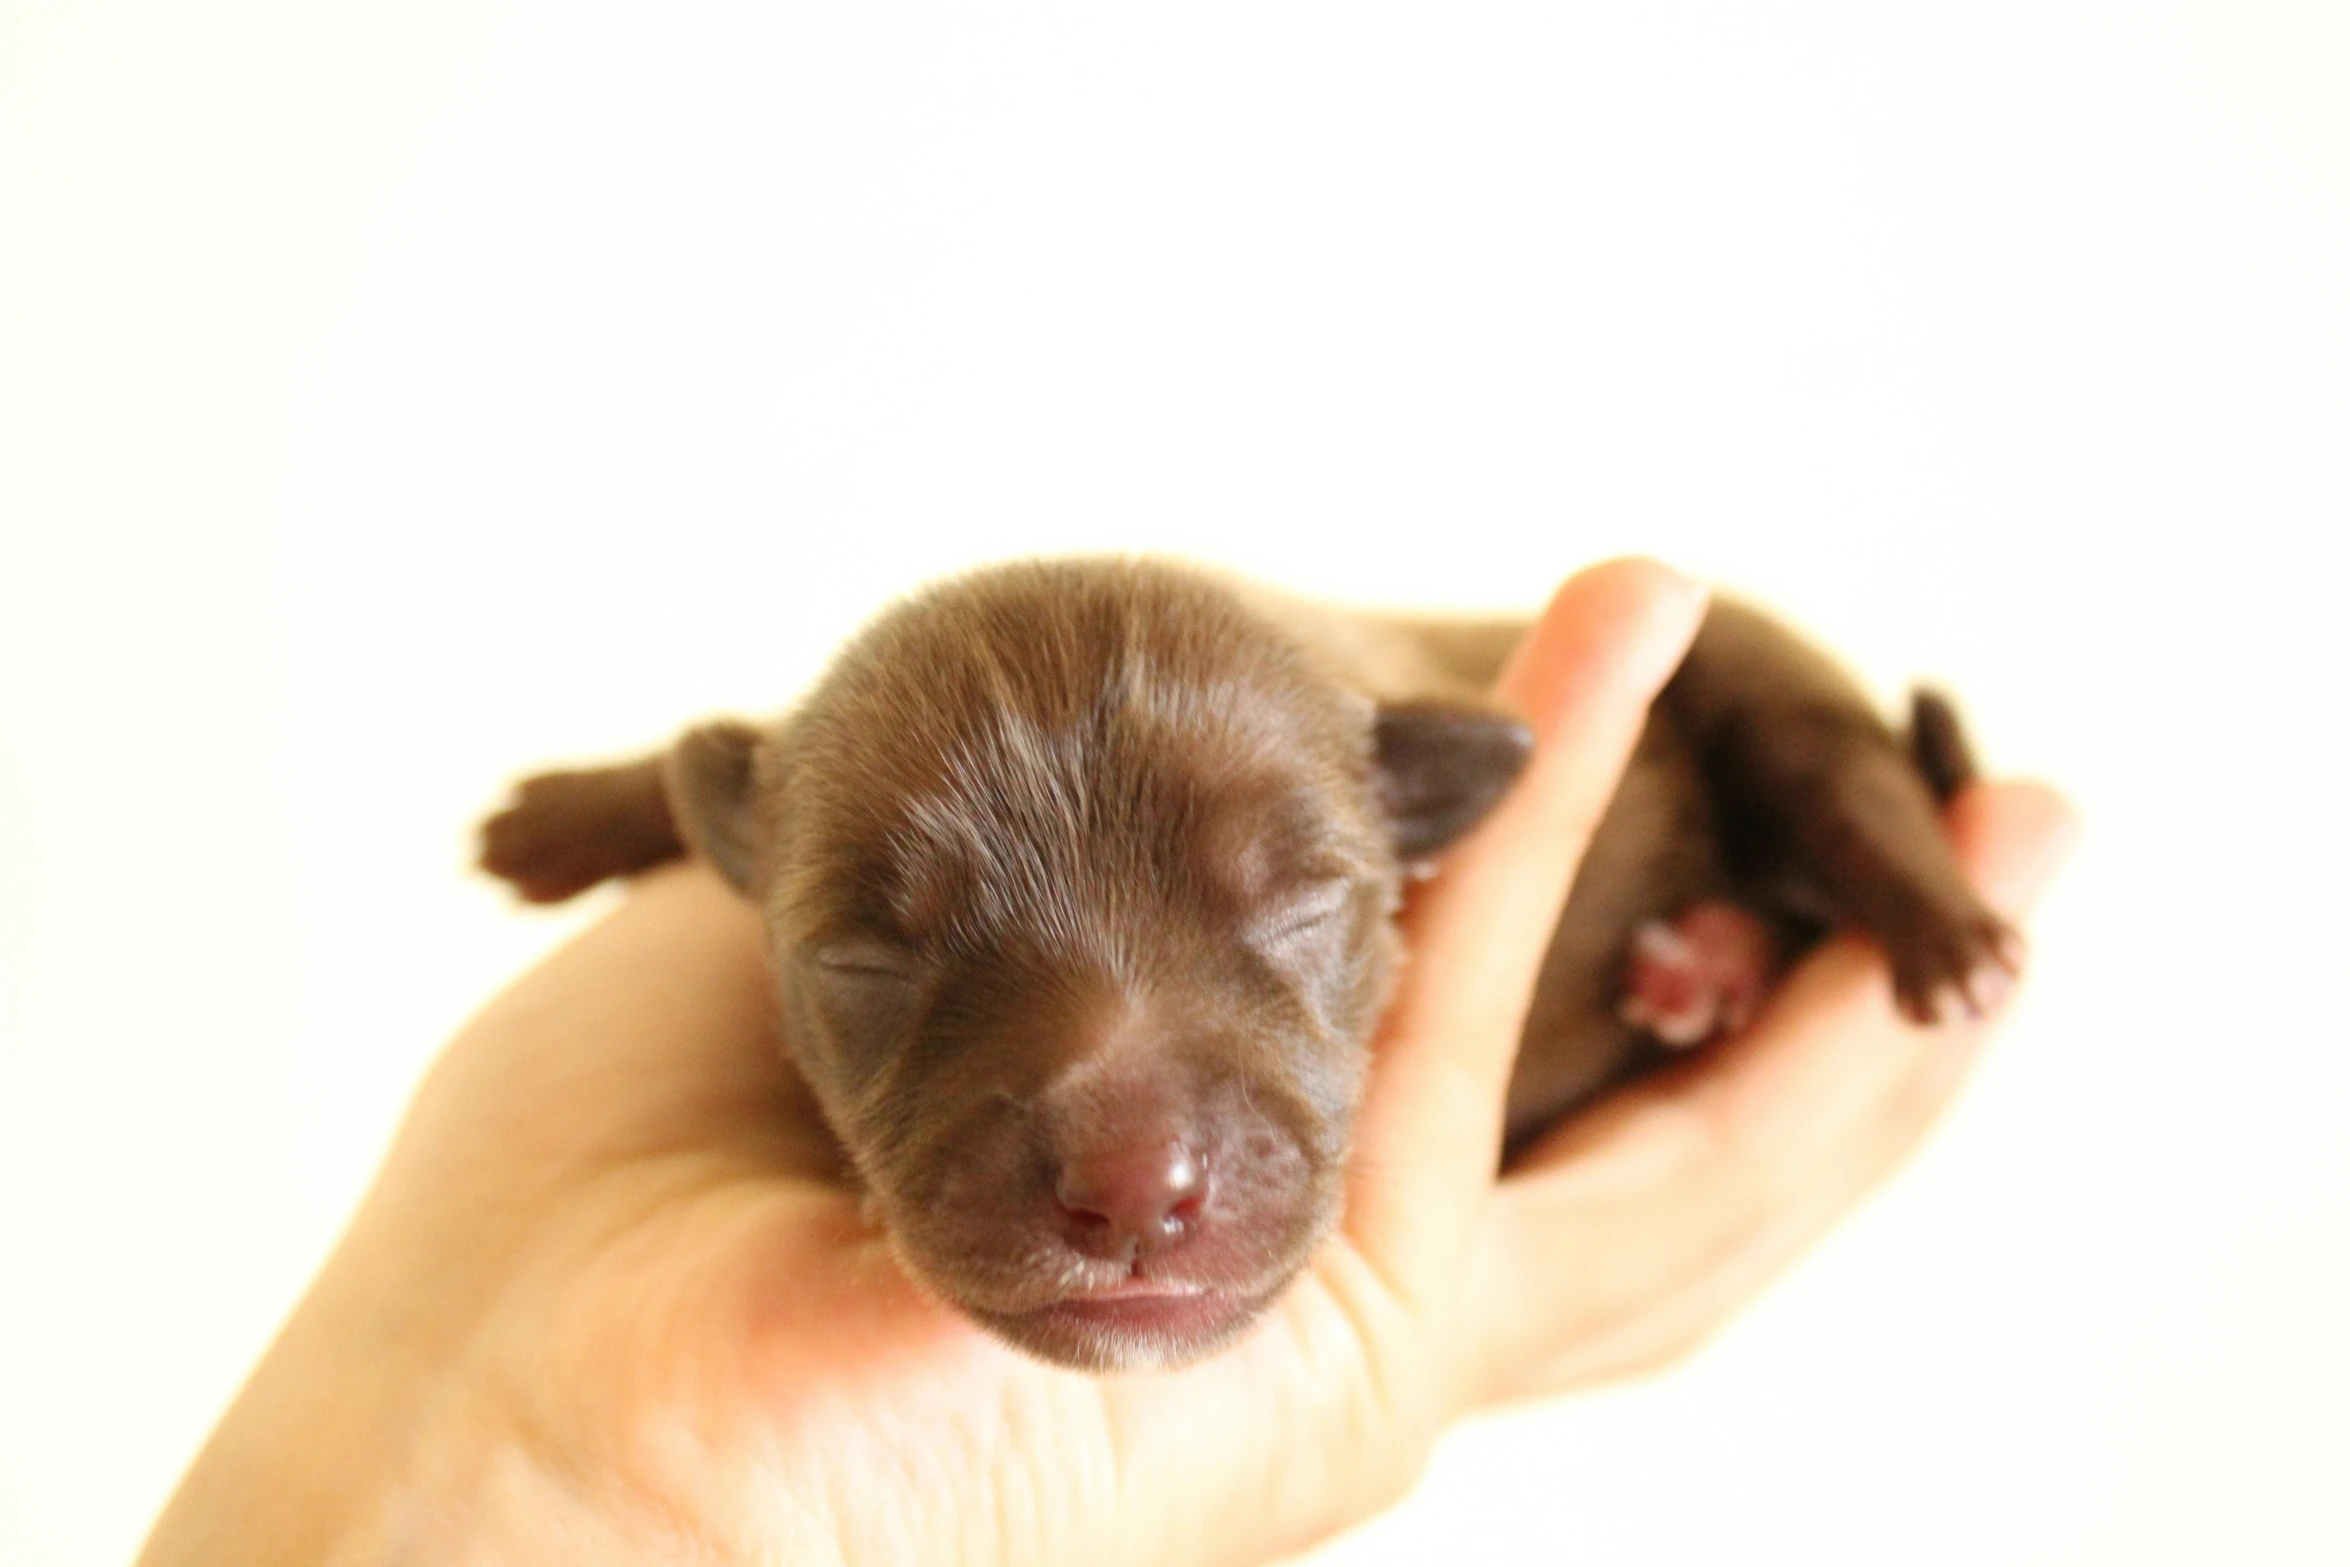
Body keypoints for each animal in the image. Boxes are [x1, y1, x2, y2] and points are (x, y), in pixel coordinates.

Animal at [481, 561, 2020, 1372]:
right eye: (858, 958)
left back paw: (1920, 933)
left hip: (1760, 673)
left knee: (1845, 779)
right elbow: (719, 767)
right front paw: (580, 808)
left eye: (1303, 901)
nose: (1127, 1189)